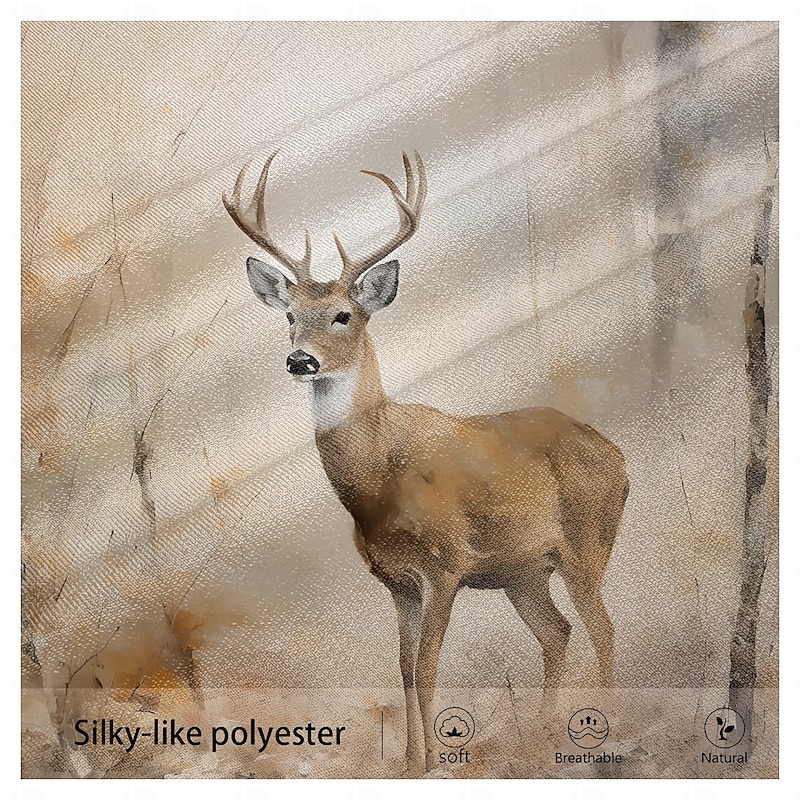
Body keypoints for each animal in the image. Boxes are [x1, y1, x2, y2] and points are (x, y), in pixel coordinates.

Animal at [223, 150, 629, 773]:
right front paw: (412, 764)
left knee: (602, 628)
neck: (375, 484)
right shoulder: (397, 581)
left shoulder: (446, 563)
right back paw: (541, 733)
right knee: (557, 632)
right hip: (521, 570)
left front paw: (436, 761)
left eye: (343, 315)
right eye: (289, 315)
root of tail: (619, 456)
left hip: (587, 539)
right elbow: (404, 668)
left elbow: (430, 664)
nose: (299, 360)